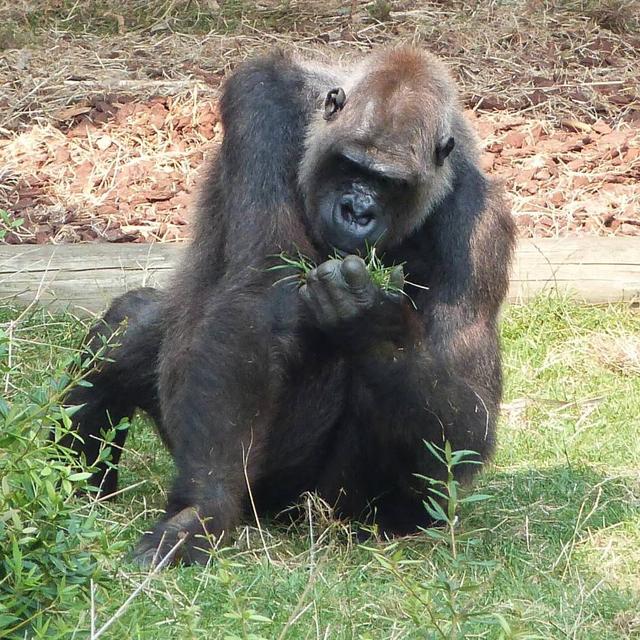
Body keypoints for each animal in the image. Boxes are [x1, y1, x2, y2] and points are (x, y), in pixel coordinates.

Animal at [61, 47, 516, 564]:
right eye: (351, 167)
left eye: (390, 184)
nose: (357, 212)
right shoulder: (265, 105)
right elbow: (260, 296)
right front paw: (203, 508)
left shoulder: (483, 224)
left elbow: (468, 420)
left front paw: (378, 327)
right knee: (129, 326)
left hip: (326, 504)